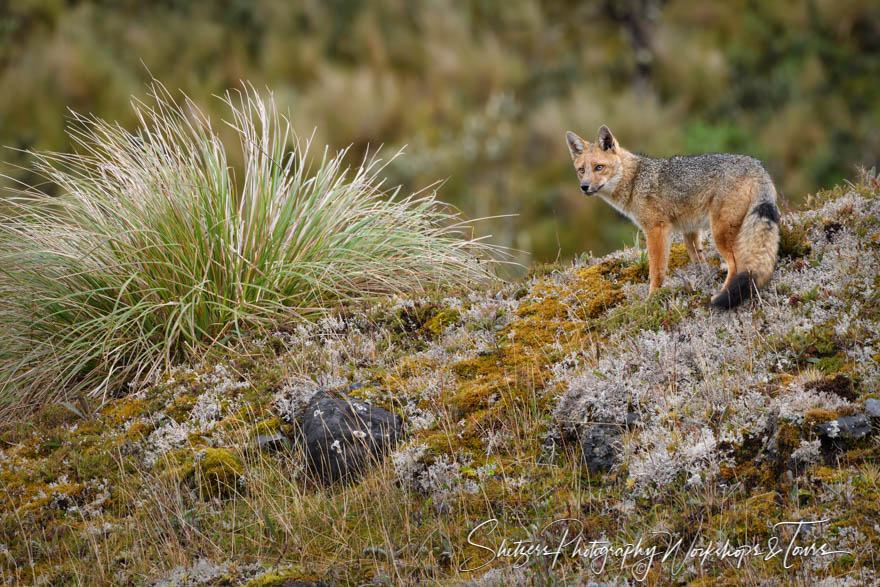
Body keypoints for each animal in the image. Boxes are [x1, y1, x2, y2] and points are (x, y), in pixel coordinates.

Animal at [564, 126, 776, 310]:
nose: (584, 187)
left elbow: (656, 271)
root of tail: (757, 165)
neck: (634, 182)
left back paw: (722, 296)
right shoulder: (689, 230)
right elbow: (698, 259)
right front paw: (701, 278)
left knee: (738, 265)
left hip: (720, 234)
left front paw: (651, 299)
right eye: (581, 170)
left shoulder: (655, 230)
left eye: (599, 167)